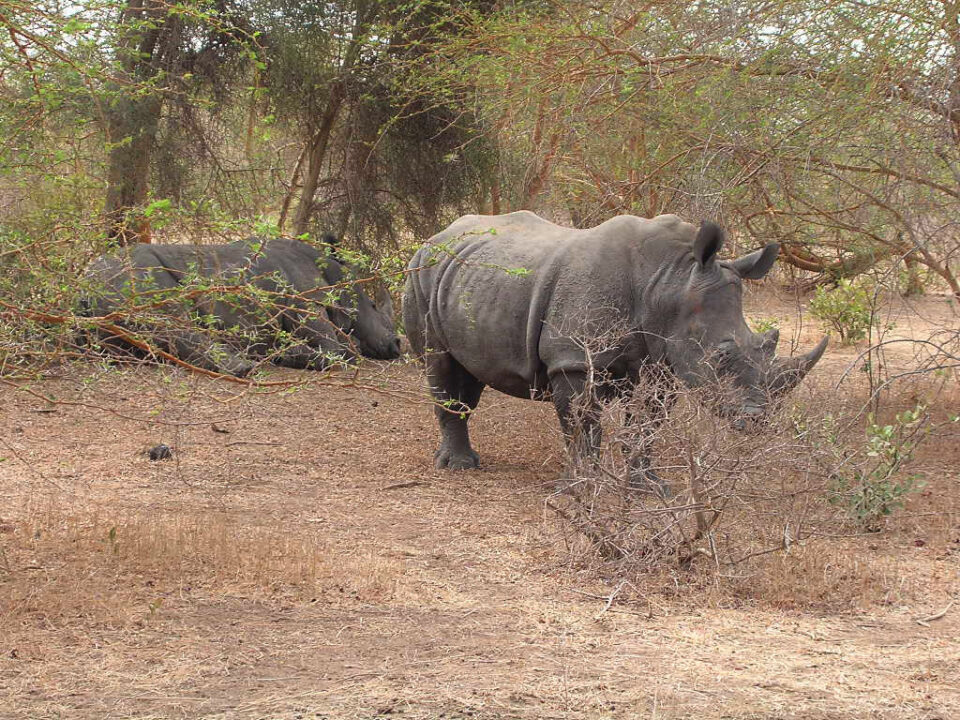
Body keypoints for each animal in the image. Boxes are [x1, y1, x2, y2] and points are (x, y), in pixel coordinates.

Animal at [81, 236, 401, 376]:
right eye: (373, 305)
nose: (396, 345)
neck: (334, 277)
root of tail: (84, 285)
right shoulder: (303, 303)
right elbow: (339, 349)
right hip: (133, 278)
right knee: (175, 321)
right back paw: (248, 365)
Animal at [403, 211, 827, 488]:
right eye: (721, 355)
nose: (756, 419)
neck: (670, 280)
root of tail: (437, 236)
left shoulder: (664, 364)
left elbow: (647, 425)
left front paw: (647, 486)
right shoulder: (573, 361)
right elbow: (582, 426)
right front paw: (582, 486)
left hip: (468, 278)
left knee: (469, 375)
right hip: (420, 271)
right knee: (439, 363)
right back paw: (458, 468)